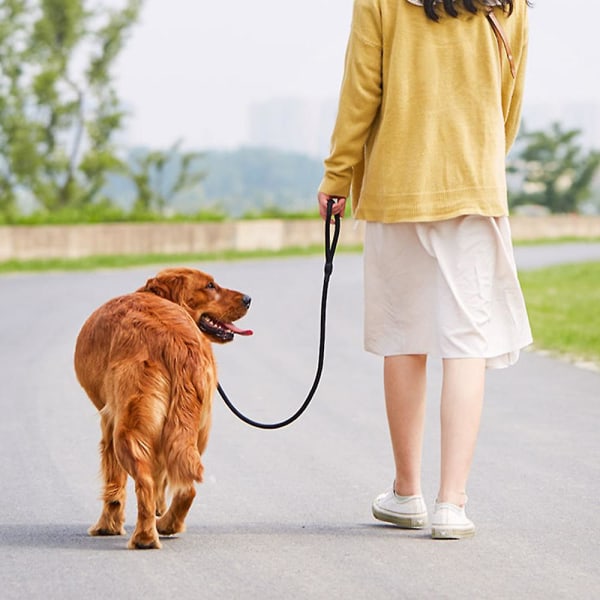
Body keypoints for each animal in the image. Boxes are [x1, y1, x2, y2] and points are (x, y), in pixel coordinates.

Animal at [74, 268, 252, 548]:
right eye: (210, 286)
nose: (248, 299)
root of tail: (176, 341)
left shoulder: (108, 421)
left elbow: (115, 484)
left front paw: (107, 526)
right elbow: (162, 476)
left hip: (127, 429)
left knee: (145, 482)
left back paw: (144, 537)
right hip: (197, 428)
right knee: (187, 485)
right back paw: (167, 524)